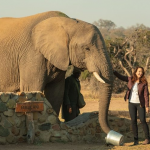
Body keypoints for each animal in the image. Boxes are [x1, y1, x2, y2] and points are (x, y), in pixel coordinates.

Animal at [0, 10, 121, 141]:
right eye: (87, 48)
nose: (116, 136)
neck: (68, 23)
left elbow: (56, 92)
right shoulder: (32, 55)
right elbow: (32, 88)